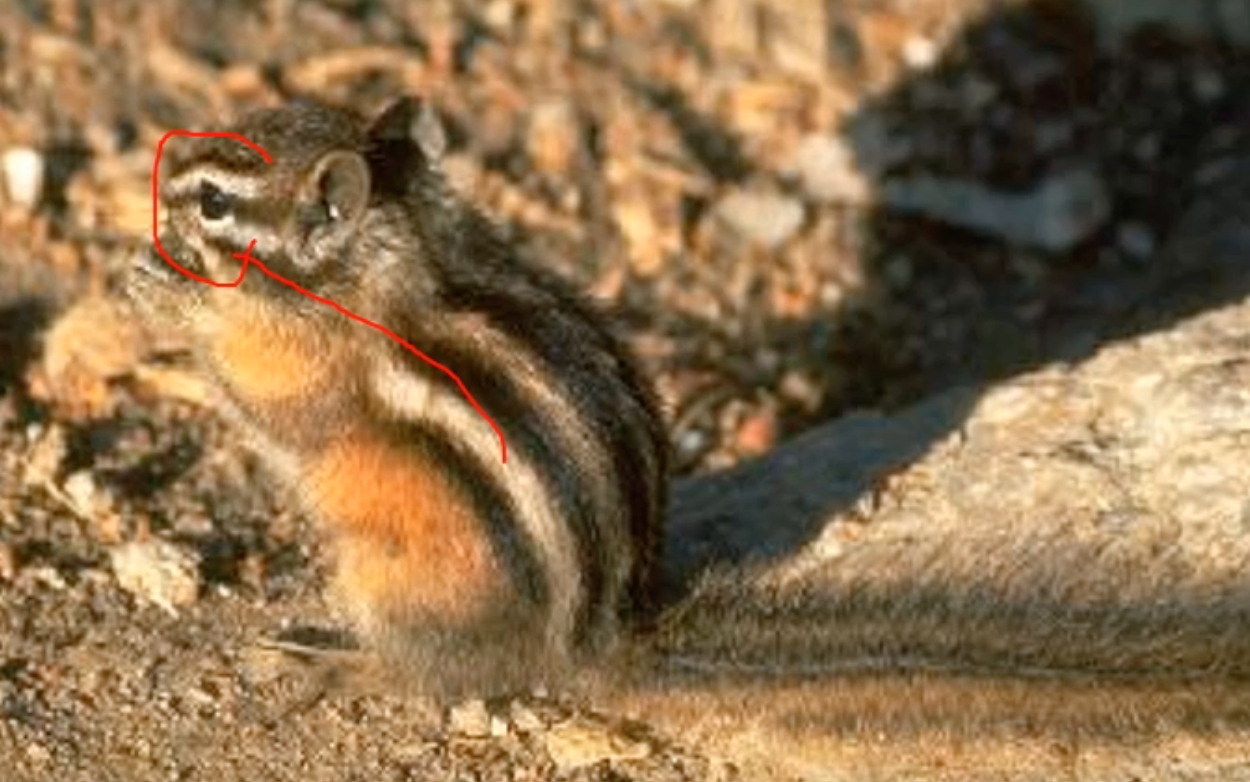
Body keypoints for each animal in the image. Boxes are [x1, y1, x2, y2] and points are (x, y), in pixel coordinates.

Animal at [128, 98, 1250, 778]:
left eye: (216, 198)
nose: (167, 159)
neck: (389, 257)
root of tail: (587, 646)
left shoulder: (313, 369)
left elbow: (272, 410)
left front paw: (166, 302)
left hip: (387, 580)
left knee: (429, 673)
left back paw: (329, 660)